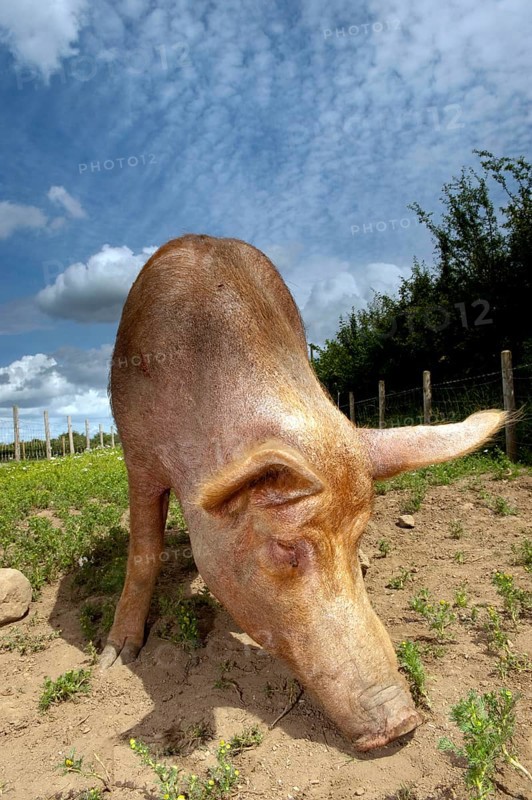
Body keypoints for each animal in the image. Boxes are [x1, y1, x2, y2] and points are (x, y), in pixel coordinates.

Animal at [101, 234, 505, 751]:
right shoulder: (138, 453)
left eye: (357, 535)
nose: (403, 723)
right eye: (285, 547)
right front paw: (115, 659)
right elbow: (145, 551)